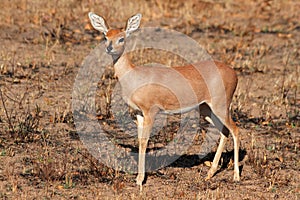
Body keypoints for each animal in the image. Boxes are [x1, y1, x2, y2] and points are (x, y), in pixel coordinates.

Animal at [88, 11, 240, 190]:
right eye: (105, 36)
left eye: (121, 38)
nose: (109, 48)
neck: (134, 77)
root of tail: (233, 72)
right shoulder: (139, 113)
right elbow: (140, 141)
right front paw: (138, 177)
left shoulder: (151, 112)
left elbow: (145, 141)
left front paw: (140, 180)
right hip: (207, 109)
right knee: (224, 131)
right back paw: (209, 174)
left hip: (220, 106)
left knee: (235, 130)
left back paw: (236, 176)